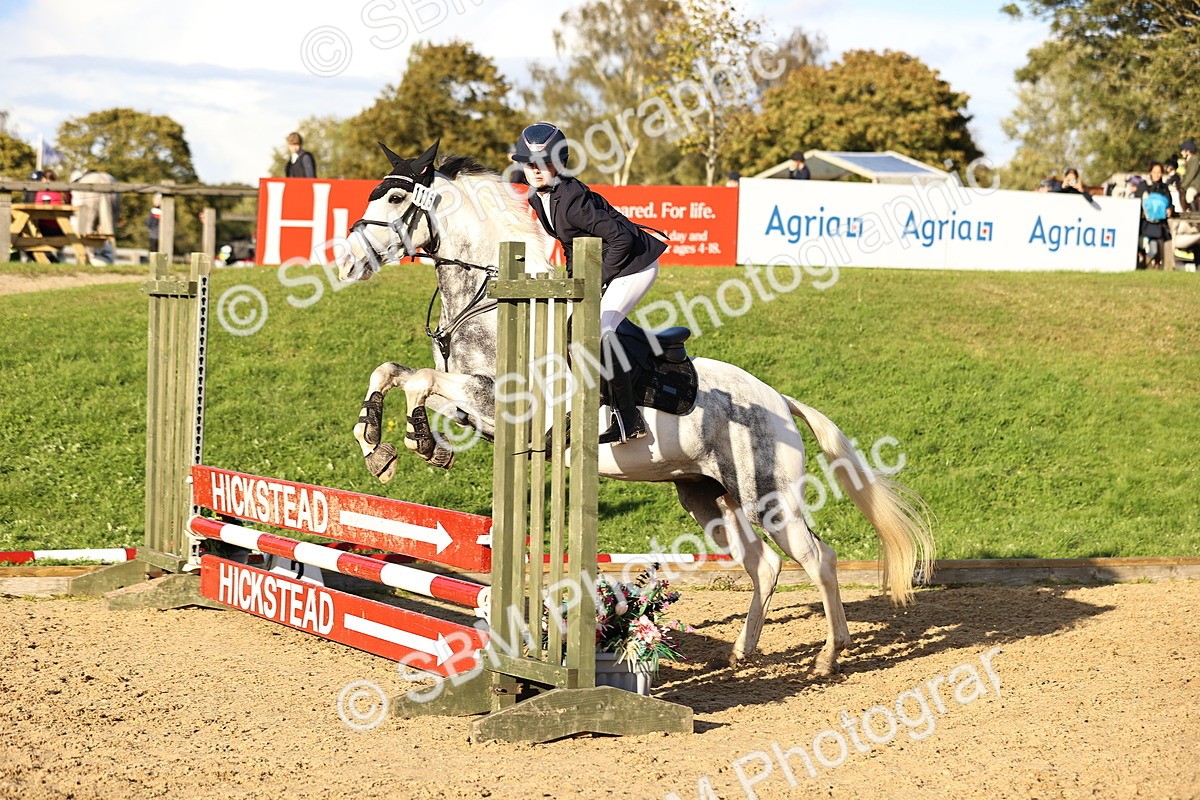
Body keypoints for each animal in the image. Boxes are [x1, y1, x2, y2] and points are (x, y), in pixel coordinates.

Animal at [337, 141, 933, 675]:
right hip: (709, 496)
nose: (345, 262)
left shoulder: (500, 401)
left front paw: (409, 441)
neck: (492, 300)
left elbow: (421, 380)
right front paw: (384, 445)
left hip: (769, 495)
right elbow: (395, 374)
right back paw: (742, 652)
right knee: (764, 564)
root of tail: (778, 402)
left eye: (396, 198)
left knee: (817, 558)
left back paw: (830, 656)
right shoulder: (473, 408)